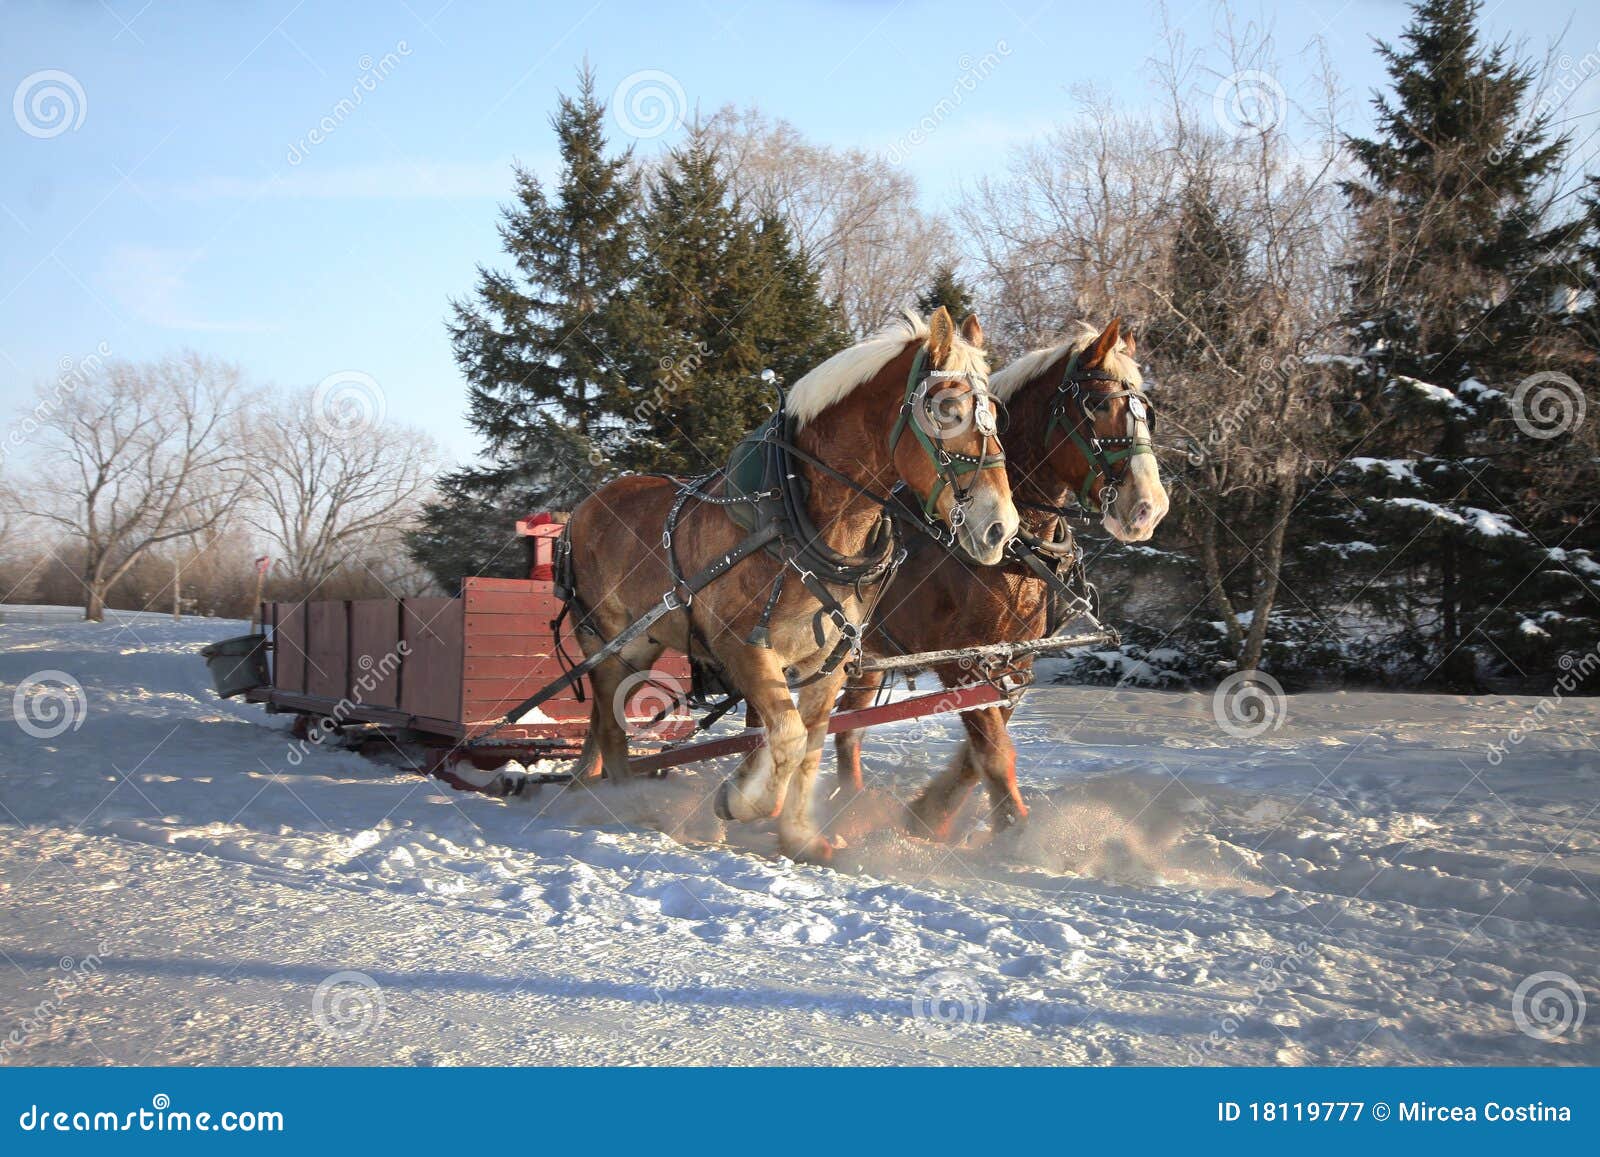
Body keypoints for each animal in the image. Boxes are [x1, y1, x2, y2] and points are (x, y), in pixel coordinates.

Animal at [564, 307, 1019, 863]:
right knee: (611, 729)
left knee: (605, 727)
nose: (1001, 527)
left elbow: (810, 744)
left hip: (642, 645)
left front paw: (799, 836)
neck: (798, 515)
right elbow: (787, 736)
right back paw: (627, 803)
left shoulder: (829, 662)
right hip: (608, 642)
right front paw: (741, 801)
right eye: (948, 409)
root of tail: (582, 509)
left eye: (994, 412)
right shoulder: (744, 648)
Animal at [831, 318, 1168, 839]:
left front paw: (928, 815)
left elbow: (980, 753)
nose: (1148, 507)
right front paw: (1014, 834)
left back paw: (847, 809)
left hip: (868, 655)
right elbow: (992, 751)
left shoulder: (1014, 661)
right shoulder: (961, 660)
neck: (1014, 550)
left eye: (1146, 412)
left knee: (846, 728)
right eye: (1098, 405)